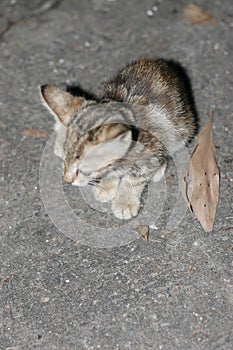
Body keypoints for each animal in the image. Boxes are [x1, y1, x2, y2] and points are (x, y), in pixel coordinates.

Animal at [40, 58, 197, 220]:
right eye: (62, 160)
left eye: (82, 169)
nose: (67, 180)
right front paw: (106, 185)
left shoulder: (151, 149)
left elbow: (134, 179)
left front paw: (125, 201)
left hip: (180, 129)